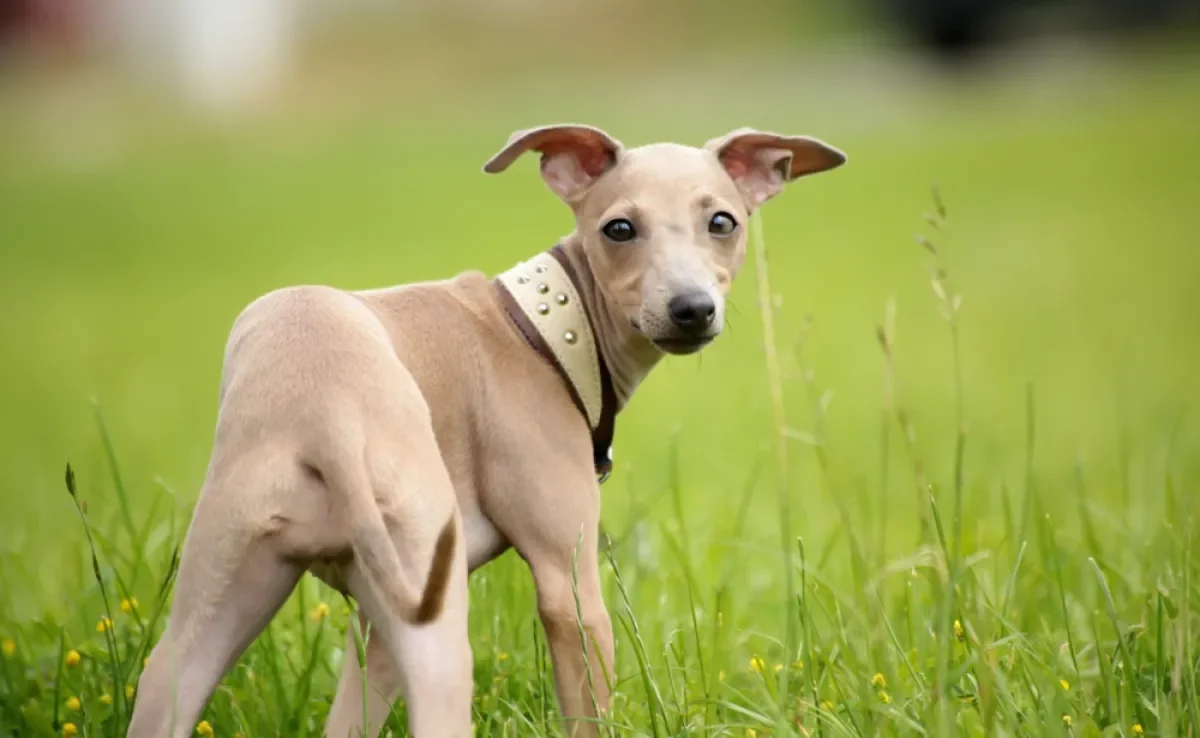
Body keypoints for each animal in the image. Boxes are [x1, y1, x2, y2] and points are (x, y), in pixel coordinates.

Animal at [124, 124, 844, 734]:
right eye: (619, 228)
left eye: (722, 221)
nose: (692, 310)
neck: (548, 329)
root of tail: (322, 414)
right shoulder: (571, 593)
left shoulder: (376, 632)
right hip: (441, 638)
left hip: (217, 609)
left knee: (170, 673)